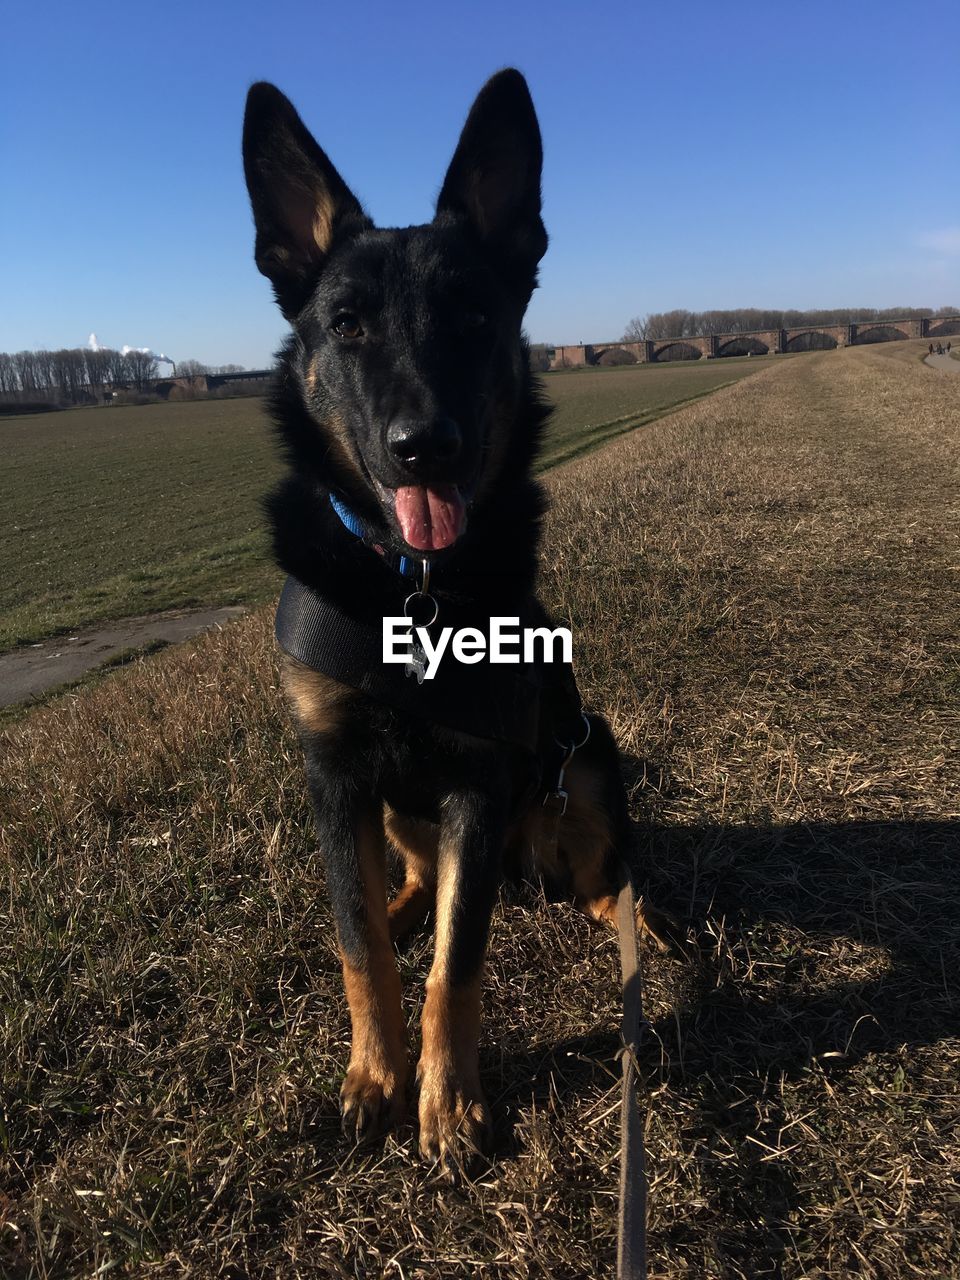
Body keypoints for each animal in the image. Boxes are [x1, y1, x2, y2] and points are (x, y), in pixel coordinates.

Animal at [240, 70, 675, 1177]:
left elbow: (458, 962)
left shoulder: (482, 781)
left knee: (597, 871)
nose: (421, 447)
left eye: (476, 313)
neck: (413, 586)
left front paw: (450, 1100)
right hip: (405, 811)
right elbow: (360, 947)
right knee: (399, 880)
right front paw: (376, 1077)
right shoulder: (335, 774)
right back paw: (403, 907)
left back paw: (634, 929)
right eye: (347, 324)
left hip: (586, 755)